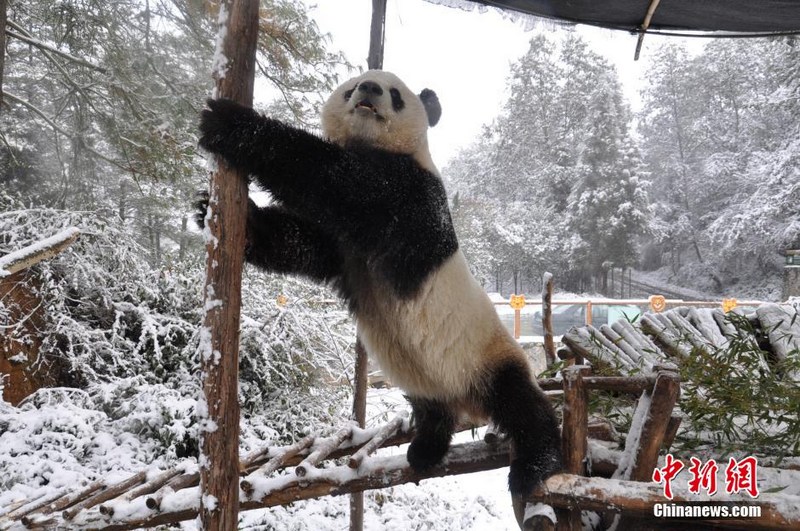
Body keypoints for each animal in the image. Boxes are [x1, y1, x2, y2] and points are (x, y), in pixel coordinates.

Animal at [197, 71, 564, 498]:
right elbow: (304, 243)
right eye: (350, 87)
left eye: (395, 94)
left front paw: (228, 122)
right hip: (429, 380)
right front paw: (215, 214)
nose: (369, 89)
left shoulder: (414, 198)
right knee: (432, 409)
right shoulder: (343, 251)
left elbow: (342, 184)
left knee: (522, 405)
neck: (377, 145)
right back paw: (426, 449)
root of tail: (468, 401)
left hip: (488, 356)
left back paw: (533, 466)